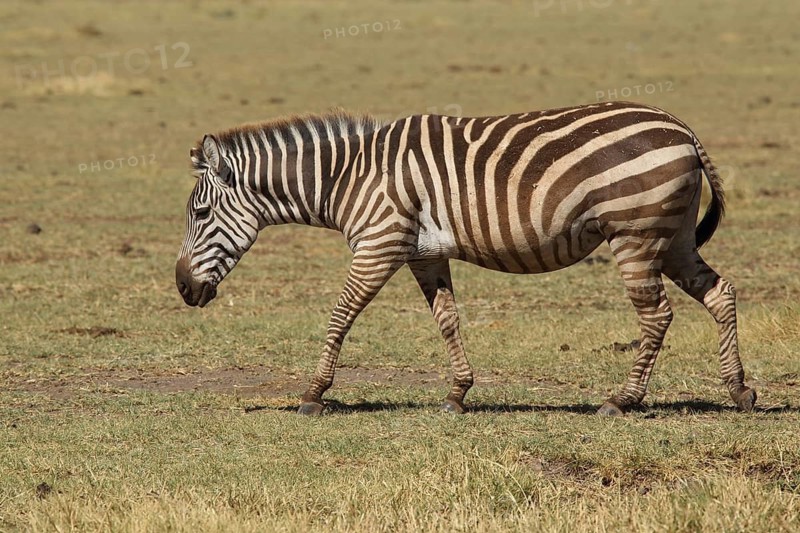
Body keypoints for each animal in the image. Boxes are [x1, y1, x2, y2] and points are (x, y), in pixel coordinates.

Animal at [175, 101, 755, 416]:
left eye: (200, 213)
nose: (182, 288)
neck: (349, 176)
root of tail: (680, 127)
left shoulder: (380, 243)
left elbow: (341, 315)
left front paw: (314, 394)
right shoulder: (423, 253)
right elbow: (447, 319)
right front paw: (458, 393)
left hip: (635, 234)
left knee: (656, 315)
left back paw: (623, 399)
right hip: (672, 236)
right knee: (719, 294)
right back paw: (739, 390)